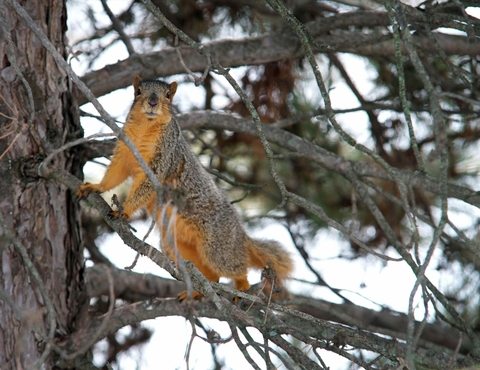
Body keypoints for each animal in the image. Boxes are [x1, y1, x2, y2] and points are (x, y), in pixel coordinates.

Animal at [79, 76, 292, 300]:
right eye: (138, 91)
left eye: (168, 95)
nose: (152, 102)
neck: (144, 128)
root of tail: (240, 233)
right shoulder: (123, 153)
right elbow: (114, 174)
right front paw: (95, 186)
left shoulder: (164, 159)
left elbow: (146, 186)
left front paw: (125, 210)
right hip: (178, 247)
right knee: (211, 276)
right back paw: (198, 293)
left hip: (217, 245)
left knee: (233, 267)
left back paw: (242, 288)